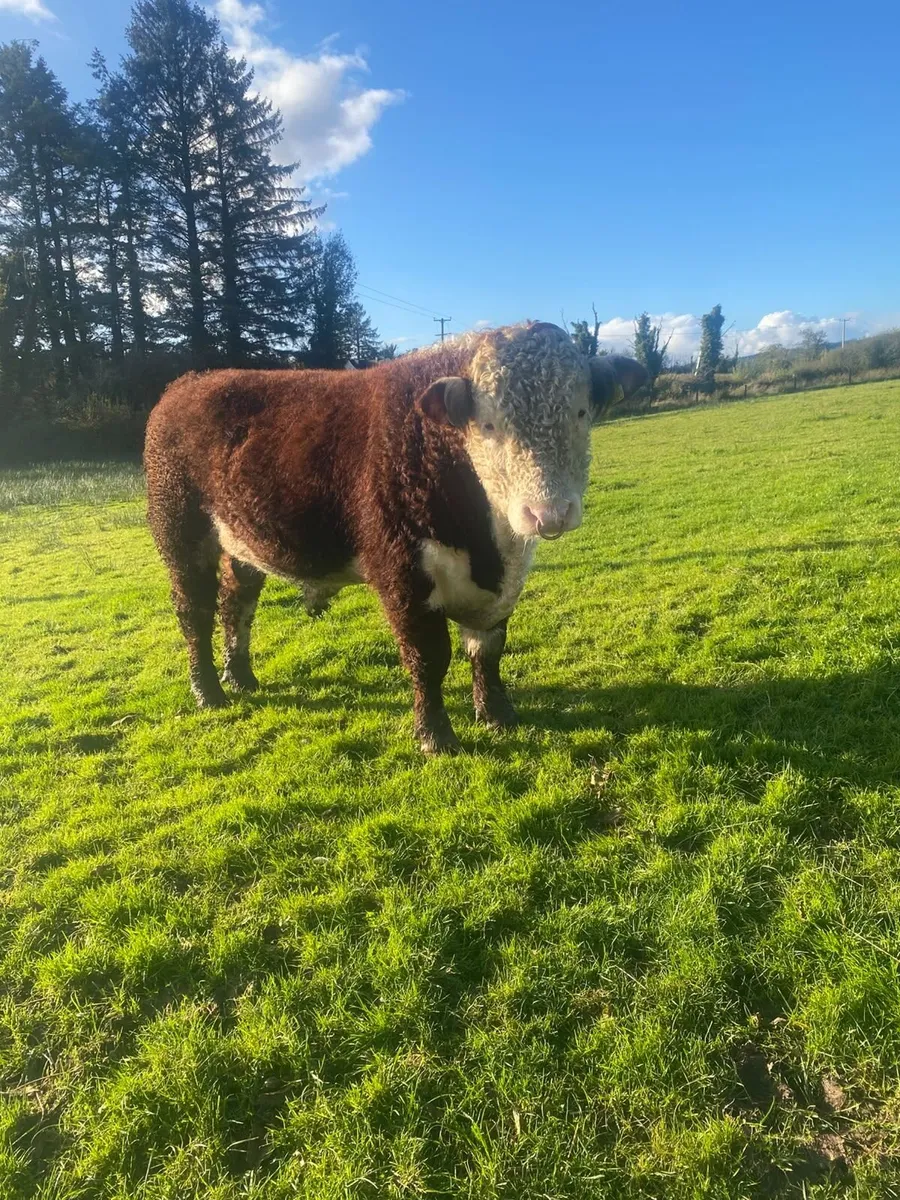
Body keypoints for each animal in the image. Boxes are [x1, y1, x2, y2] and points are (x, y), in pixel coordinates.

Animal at [143, 322, 647, 753]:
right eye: (489, 425)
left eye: (580, 412)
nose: (549, 513)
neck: (487, 545)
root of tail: (188, 383)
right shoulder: (401, 574)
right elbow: (429, 657)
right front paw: (435, 737)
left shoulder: (504, 583)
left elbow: (488, 650)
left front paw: (497, 714)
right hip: (180, 531)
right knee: (194, 611)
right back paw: (209, 692)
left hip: (241, 543)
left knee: (237, 603)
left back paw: (241, 676)